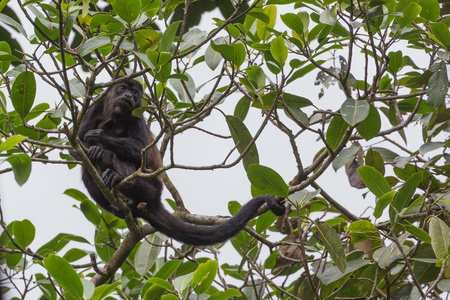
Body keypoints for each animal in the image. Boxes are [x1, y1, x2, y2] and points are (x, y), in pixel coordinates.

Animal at [74, 78, 284, 245]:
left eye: (134, 92)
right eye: (122, 87)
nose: (127, 95)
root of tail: (155, 201)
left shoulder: (137, 117)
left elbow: (143, 155)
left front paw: (101, 139)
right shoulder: (95, 107)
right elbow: (77, 143)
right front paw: (94, 150)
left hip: (152, 190)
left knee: (120, 159)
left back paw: (120, 179)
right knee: (87, 173)